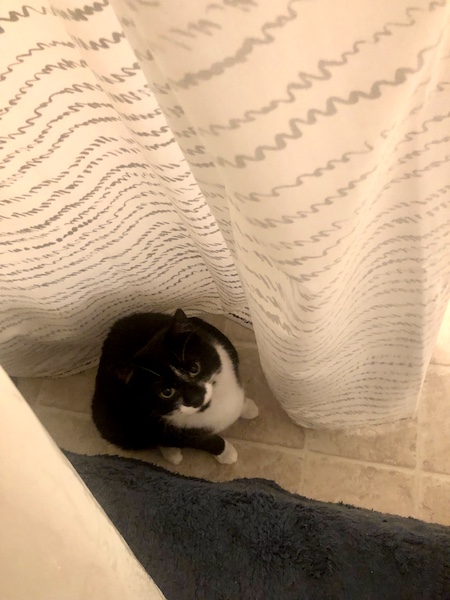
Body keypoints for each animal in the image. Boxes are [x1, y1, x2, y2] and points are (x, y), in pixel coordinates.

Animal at [91, 308, 258, 466]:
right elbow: (203, 441)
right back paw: (172, 454)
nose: (196, 399)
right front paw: (226, 453)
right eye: (166, 392)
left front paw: (247, 407)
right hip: (115, 423)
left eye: (194, 368)